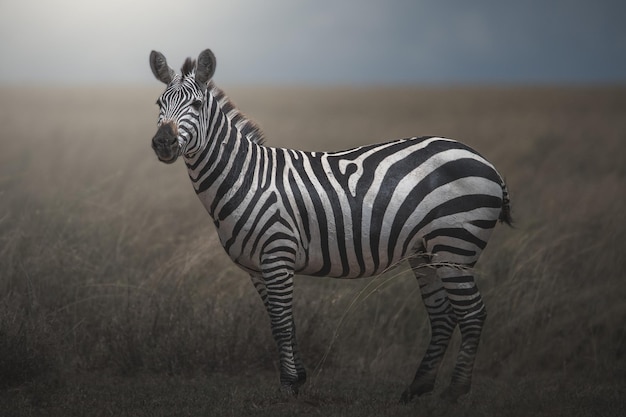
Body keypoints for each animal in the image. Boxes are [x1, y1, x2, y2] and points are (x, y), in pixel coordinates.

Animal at [149, 48, 510, 404]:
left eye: (197, 105)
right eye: (157, 103)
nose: (163, 142)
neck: (246, 177)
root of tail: (483, 160)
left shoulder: (277, 254)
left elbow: (281, 324)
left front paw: (288, 386)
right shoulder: (257, 268)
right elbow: (284, 322)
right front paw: (299, 378)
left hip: (455, 244)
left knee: (473, 313)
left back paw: (456, 390)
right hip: (426, 252)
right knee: (443, 314)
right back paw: (417, 387)